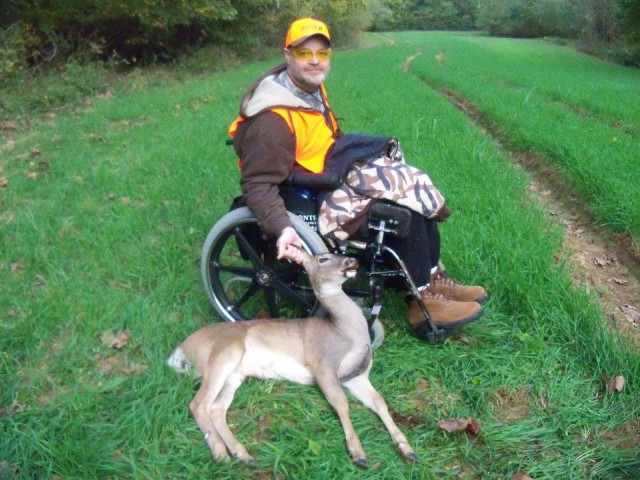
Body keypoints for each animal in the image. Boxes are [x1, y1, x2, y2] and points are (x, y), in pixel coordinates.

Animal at [170, 249, 418, 466]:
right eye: (323, 258)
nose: (352, 261)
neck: (346, 332)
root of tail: (181, 349)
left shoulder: (357, 376)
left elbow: (379, 401)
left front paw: (407, 448)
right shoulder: (322, 363)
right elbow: (340, 402)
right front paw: (358, 453)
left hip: (234, 375)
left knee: (216, 409)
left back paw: (242, 454)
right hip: (224, 352)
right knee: (198, 403)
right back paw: (220, 453)